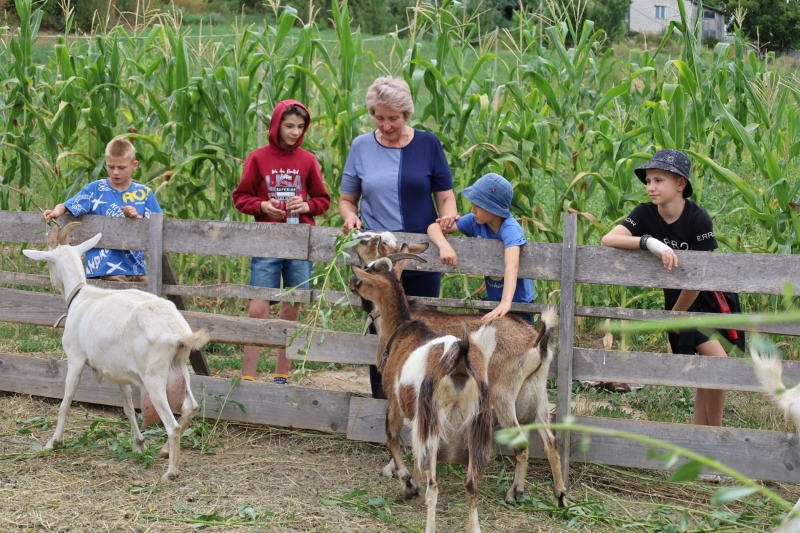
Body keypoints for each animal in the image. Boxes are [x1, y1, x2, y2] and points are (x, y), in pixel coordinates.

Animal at [23, 222, 208, 480]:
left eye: (49, 263)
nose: (53, 284)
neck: (80, 294)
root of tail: (177, 332)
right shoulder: (122, 374)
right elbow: (128, 408)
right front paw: (139, 444)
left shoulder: (75, 359)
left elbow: (66, 401)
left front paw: (53, 442)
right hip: (180, 368)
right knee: (191, 407)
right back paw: (164, 451)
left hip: (154, 377)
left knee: (173, 425)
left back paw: (170, 472)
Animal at [350, 256, 494, 528]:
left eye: (366, 273)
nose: (352, 282)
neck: (399, 332)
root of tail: (460, 360)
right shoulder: (419, 419)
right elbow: (414, 449)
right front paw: (412, 480)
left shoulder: (395, 402)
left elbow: (393, 439)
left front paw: (407, 482)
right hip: (476, 425)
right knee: (472, 485)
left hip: (435, 419)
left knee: (434, 485)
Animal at [354, 233, 564, 502]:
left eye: (376, 242)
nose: (356, 236)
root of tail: (537, 342)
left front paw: (396, 472)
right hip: (539, 393)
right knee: (550, 441)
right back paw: (560, 494)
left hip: (503, 395)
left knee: (522, 442)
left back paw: (514, 492)